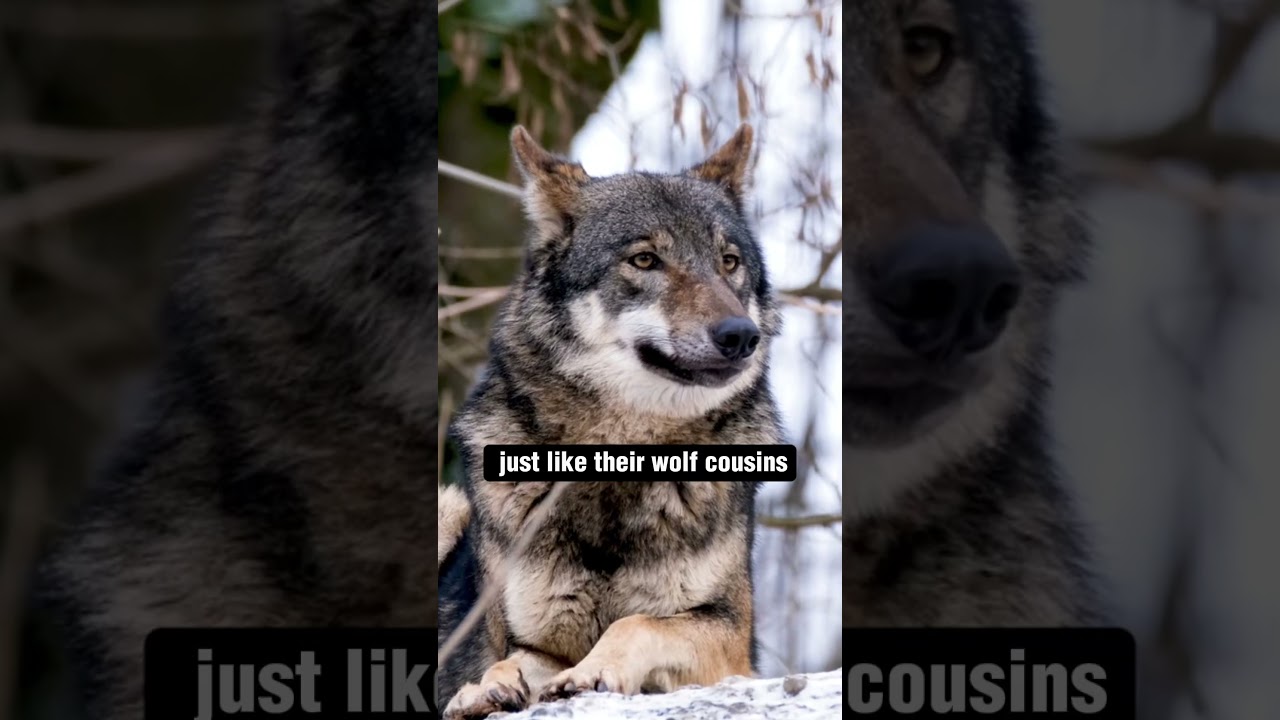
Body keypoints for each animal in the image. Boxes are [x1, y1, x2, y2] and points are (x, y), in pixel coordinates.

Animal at [437, 125, 783, 719]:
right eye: (644, 260)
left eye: (728, 261)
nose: (740, 335)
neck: (618, 460)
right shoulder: (531, 640)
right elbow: (507, 662)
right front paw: (483, 687)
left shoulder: (731, 638)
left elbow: (636, 623)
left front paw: (592, 670)